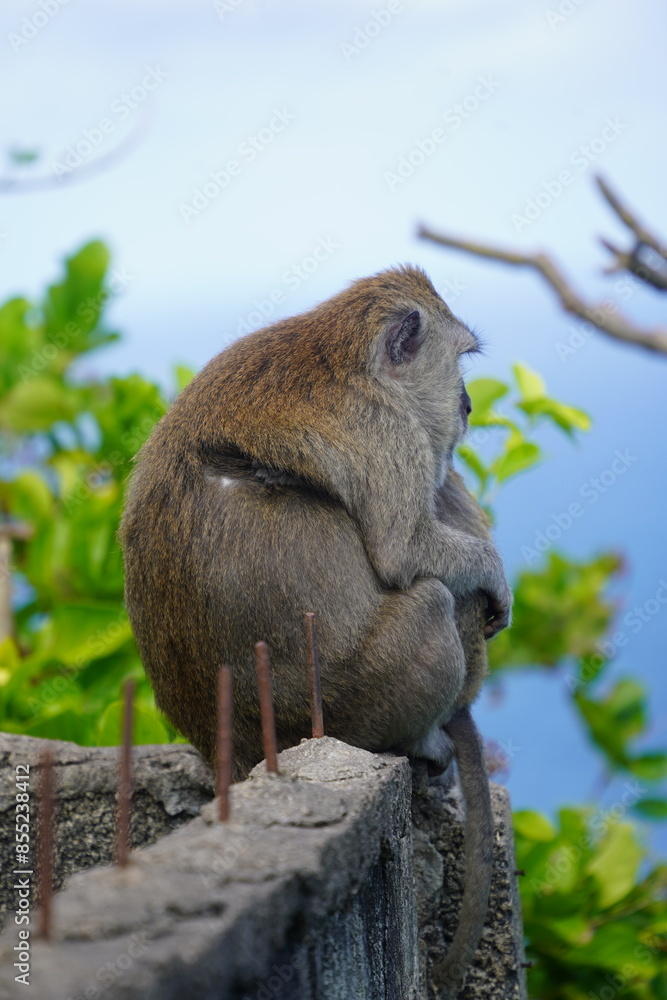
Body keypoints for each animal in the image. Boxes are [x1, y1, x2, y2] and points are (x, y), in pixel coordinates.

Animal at [119, 265, 512, 997]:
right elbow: (404, 549)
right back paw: (423, 739)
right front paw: (492, 575)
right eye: (459, 361)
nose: (468, 404)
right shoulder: (390, 433)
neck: (343, 352)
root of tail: (236, 750)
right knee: (431, 602)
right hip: (354, 700)